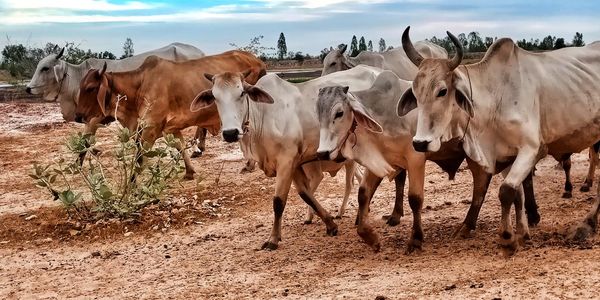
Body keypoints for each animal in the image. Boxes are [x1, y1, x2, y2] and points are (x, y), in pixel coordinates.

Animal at [26, 44, 211, 159]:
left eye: (45, 68)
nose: (28, 88)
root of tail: (202, 53)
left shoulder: (94, 118)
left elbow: (85, 141)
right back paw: (198, 147)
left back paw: (197, 148)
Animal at [74, 50, 264, 179]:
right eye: (81, 86)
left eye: (90, 87)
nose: (78, 116)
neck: (139, 85)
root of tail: (257, 61)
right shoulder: (170, 128)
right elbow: (180, 146)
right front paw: (189, 171)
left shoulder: (150, 128)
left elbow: (140, 159)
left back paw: (250, 164)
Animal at [190, 66, 382, 251]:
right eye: (215, 97)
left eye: (242, 93)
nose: (230, 133)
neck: (263, 116)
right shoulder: (295, 163)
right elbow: (305, 194)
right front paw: (330, 225)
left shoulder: (286, 161)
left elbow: (278, 202)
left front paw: (273, 239)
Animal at [314, 71, 540, 252]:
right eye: (318, 114)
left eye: (339, 113)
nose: (322, 153)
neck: (384, 112)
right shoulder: (380, 161)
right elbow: (363, 195)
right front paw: (370, 237)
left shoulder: (415, 159)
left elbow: (415, 199)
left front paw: (416, 239)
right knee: (503, 188)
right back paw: (511, 230)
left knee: (497, 186)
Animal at [398, 27, 600, 254]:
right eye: (415, 93)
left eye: (442, 91)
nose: (420, 143)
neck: (495, 97)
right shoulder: (507, 154)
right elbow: (518, 196)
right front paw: (523, 234)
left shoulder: (531, 148)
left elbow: (506, 191)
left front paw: (507, 238)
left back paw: (587, 223)